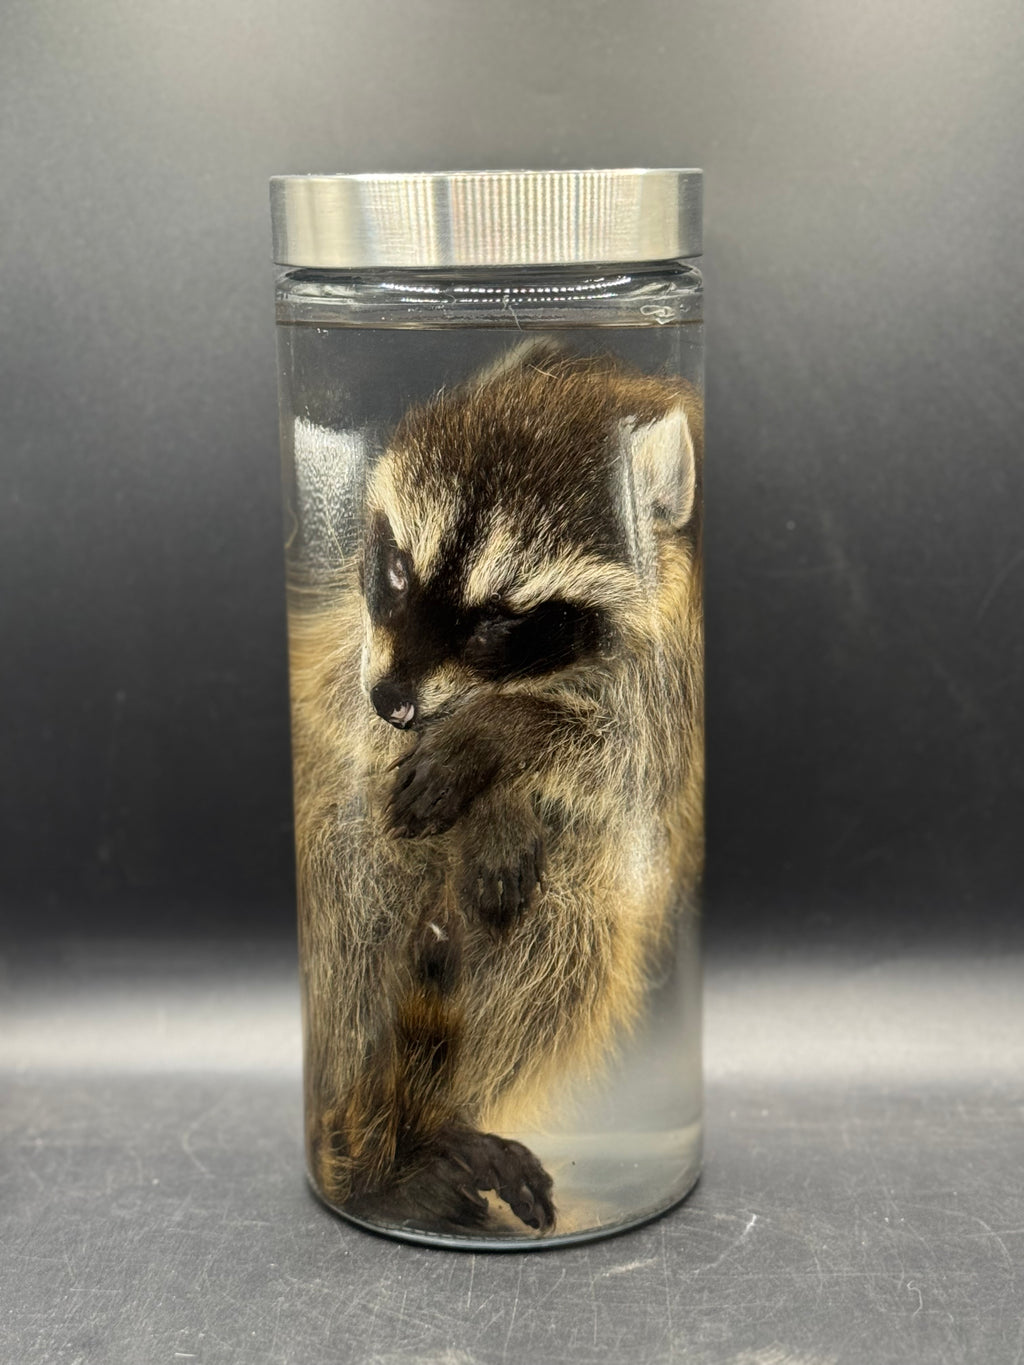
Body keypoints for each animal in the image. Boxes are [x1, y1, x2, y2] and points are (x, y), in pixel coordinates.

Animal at [287, 342, 703, 1236]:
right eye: (399, 569)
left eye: (497, 622)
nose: (396, 699)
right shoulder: (355, 654)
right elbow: (346, 725)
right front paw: (492, 800)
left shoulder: (676, 666)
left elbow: (629, 761)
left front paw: (503, 738)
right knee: (348, 871)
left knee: (568, 932)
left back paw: (423, 1135)